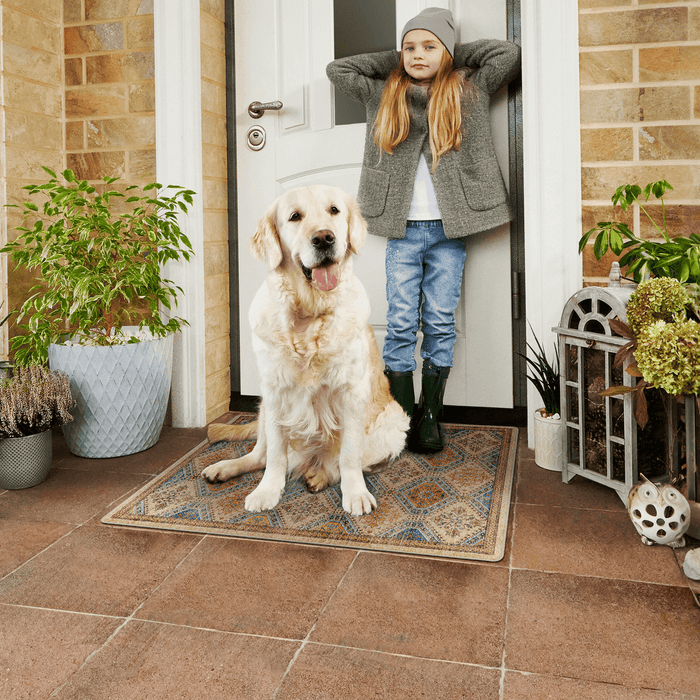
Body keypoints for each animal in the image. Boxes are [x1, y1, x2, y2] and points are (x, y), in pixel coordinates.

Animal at [201, 185, 410, 516]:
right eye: (295, 217)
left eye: (334, 210)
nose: (324, 238)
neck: (308, 318)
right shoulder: (274, 393)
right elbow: (275, 456)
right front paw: (267, 491)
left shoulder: (352, 393)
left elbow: (349, 455)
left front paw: (355, 494)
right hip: (262, 410)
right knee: (259, 456)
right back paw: (224, 468)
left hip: (394, 424)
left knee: (341, 461)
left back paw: (319, 475)